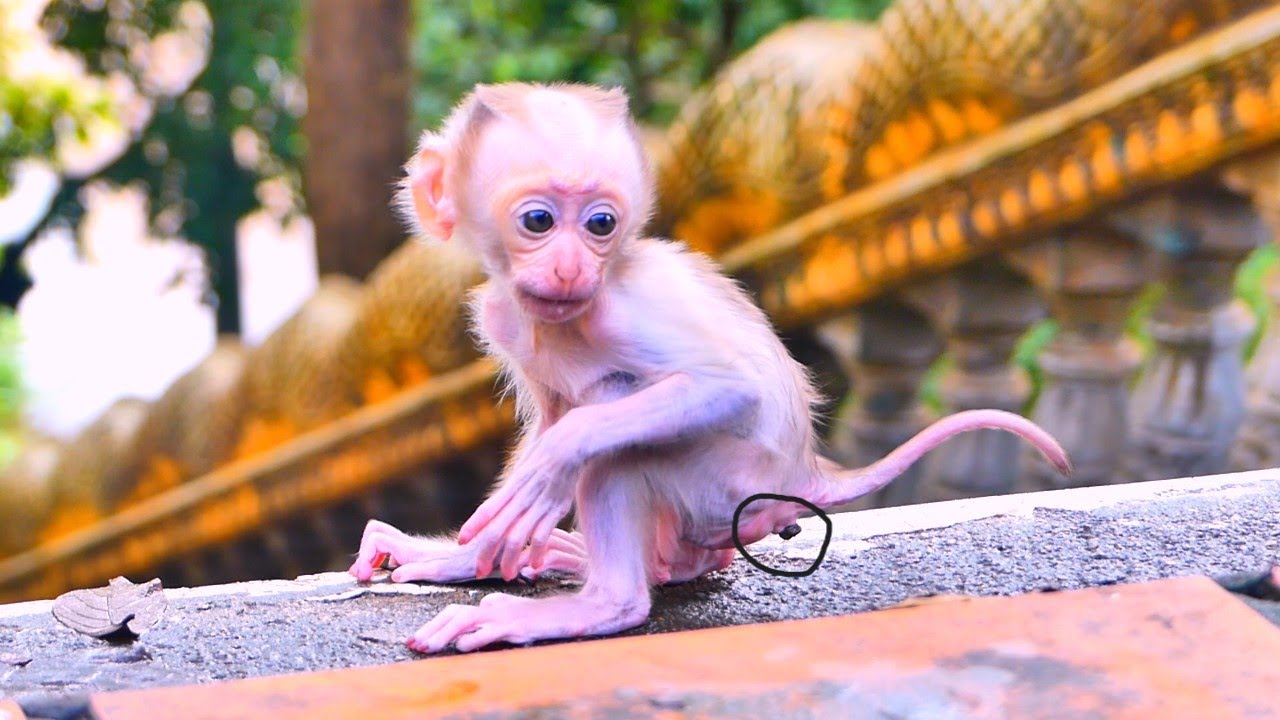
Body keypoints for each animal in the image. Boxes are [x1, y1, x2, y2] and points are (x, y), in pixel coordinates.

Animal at [348, 82, 1071, 654]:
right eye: (538, 220)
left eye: (602, 224)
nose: (571, 268)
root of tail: (806, 470)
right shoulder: (503, 317)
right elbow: (547, 417)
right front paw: (468, 550)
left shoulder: (619, 310)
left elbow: (723, 389)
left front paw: (549, 471)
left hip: (728, 481)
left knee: (618, 439)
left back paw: (602, 598)